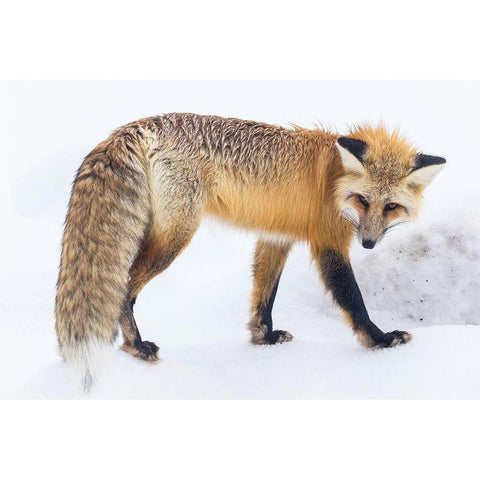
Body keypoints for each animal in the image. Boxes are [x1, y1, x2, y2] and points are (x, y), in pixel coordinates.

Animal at [55, 113, 446, 390]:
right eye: (363, 200)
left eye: (391, 207)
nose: (367, 243)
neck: (334, 179)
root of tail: (137, 125)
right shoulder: (328, 243)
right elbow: (352, 300)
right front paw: (380, 340)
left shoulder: (275, 237)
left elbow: (263, 296)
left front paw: (264, 338)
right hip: (176, 236)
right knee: (124, 287)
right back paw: (135, 346)